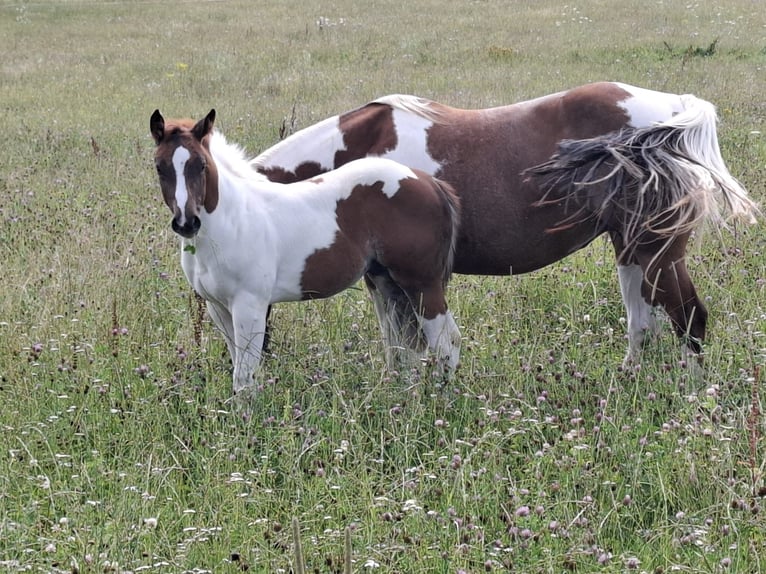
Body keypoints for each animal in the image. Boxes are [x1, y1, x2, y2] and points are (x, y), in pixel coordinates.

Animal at [152, 109, 462, 396]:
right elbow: (240, 367)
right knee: (408, 345)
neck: (234, 219)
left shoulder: (249, 304)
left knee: (447, 341)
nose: (186, 222)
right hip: (389, 283)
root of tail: (429, 182)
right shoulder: (218, 307)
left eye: (201, 164)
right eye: (159, 167)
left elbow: (244, 376)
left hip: (422, 284)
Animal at [255, 82, 760, 362]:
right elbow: (400, 349)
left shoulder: (401, 278)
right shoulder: (383, 278)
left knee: (689, 319)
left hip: (657, 252)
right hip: (631, 250)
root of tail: (673, 111)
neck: (359, 156)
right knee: (644, 326)